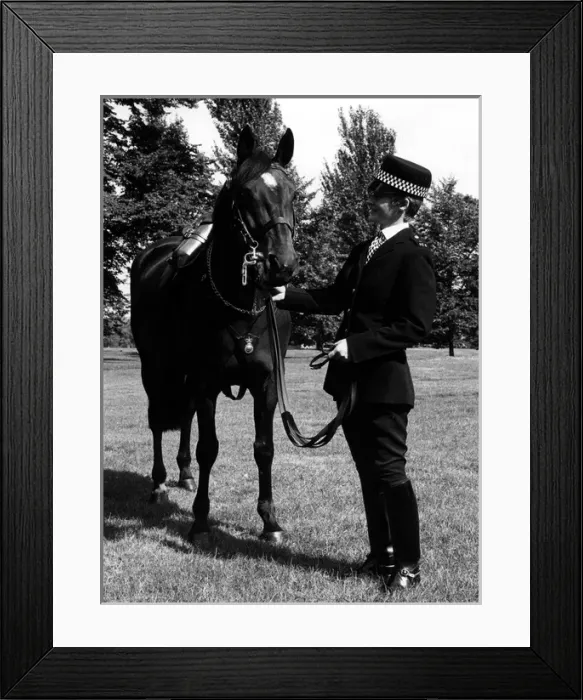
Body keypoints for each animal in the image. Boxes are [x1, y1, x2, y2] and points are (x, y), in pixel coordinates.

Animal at [130, 125, 298, 544]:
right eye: (246, 194)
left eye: (293, 194)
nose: (282, 265)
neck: (240, 304)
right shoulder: (206, 381)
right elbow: (209, 447)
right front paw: (201, 523)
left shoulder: (266, 384)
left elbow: (264, 448)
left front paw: (270, 522)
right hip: (154, 370)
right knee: (157, 421)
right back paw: (159, 483)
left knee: (184, 416)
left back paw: (185, 474)